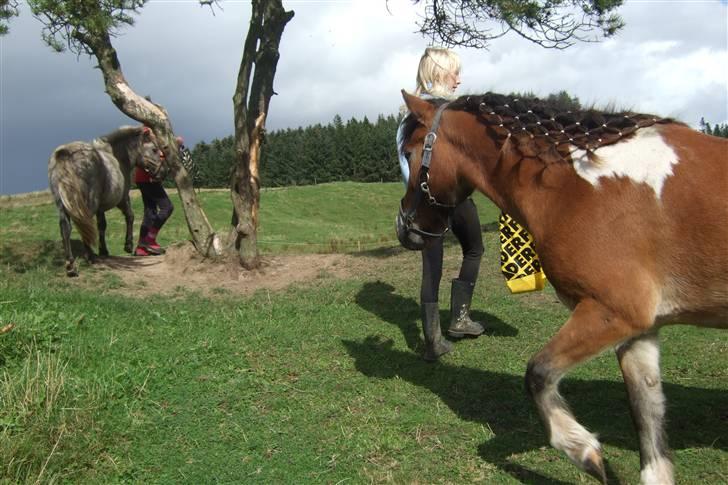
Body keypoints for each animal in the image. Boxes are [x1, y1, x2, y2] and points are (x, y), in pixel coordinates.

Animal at [398, 90, 728, 480]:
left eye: (409, 153)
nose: (405, 229)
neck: (579, 187)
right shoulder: (639, 331)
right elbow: (647, 421)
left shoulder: (613, 312)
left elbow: (538, 374)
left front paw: (584, 451)